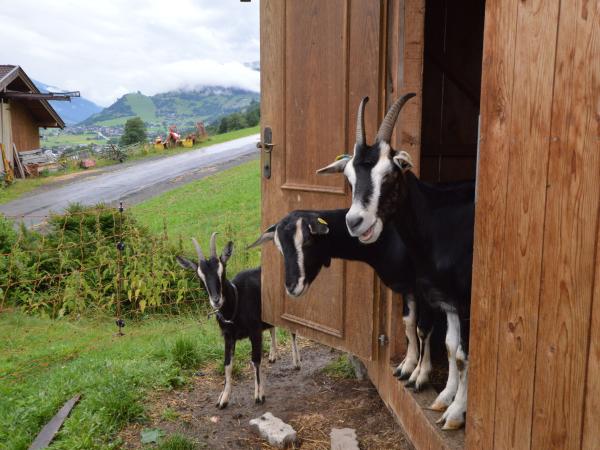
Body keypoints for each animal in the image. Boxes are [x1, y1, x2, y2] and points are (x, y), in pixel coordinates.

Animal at [177, 234, 300, 410]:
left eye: (222, 271)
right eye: (200, 277)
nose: (216, 300)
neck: (237, 300)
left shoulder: (254, 332)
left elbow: (255, 360)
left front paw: (259, 395)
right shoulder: (228, 336)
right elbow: (227, 365)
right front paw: (223, 398)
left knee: (292, 331)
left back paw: (296, 362)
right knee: (272, 327)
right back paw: (273, 354)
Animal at [250, 207, 436, 386]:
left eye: (308, 240)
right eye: (279, 248)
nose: (292, 286)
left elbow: (422, 329)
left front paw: (420, 376)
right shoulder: (408, 286)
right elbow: (409, 322)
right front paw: (407, 366)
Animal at [316, 94, 476, 428]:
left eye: (389, 174)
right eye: (349, 177)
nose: (355, 222)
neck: (439, 222)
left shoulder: (462, 302)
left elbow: (455, 350)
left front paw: (454, 410)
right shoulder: (444, 298)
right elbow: (449, 347)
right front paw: (444, 397)